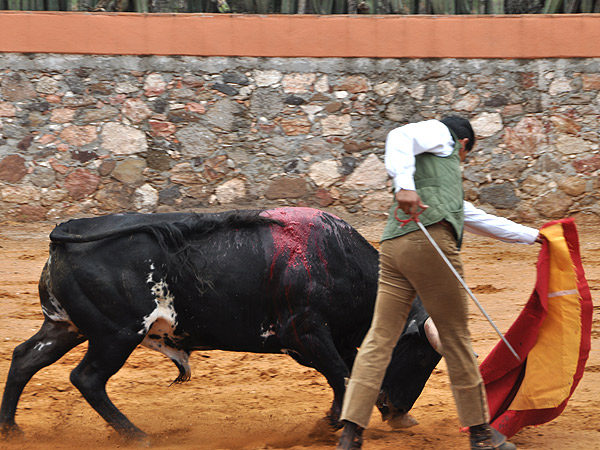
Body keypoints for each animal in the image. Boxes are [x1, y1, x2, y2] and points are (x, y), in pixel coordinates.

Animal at [0, 209, 440, 442]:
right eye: (421, 358)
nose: (400, 412)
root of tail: (68, 231)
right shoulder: (308, 334)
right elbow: (343, 377)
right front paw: (333, 425)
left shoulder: (328, 343)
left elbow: (347, 378)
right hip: (116, 335)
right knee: (87, 378)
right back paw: (139, 437)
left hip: (65, 327)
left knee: (25, 358)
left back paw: (11, 430)